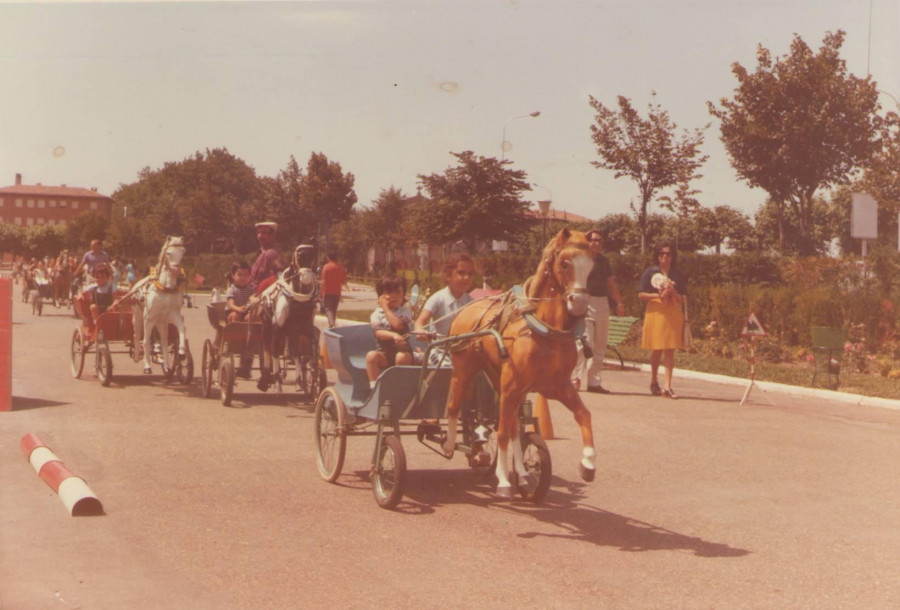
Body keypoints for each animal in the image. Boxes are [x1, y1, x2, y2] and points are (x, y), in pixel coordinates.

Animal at [130, 234, 188, 372]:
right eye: (168, 253)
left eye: (183, 252)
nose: (175, 272)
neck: (165, 289)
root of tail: (137, 285)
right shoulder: (148, 319)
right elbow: (146, 341)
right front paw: (147, 366)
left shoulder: (172, 316)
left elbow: (181, 329)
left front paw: (181, 353)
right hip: (138, 318)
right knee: (137, 335)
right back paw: (137, 356)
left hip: (161, 323)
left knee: (163, 341)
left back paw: (166, 365)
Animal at [442, 227, 596, 494]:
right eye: (565, 263)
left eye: (592, 265)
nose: (579, 303)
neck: (544, 332)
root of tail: (466, 308)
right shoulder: (512, 385)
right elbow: (502, 432)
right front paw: (504, 479)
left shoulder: (556, 386)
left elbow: (583, 415)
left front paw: (587, 464)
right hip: (465, 371)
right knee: (454, 406)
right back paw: (451, 445)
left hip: (499, 379)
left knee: (514, 425)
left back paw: (523, 474)